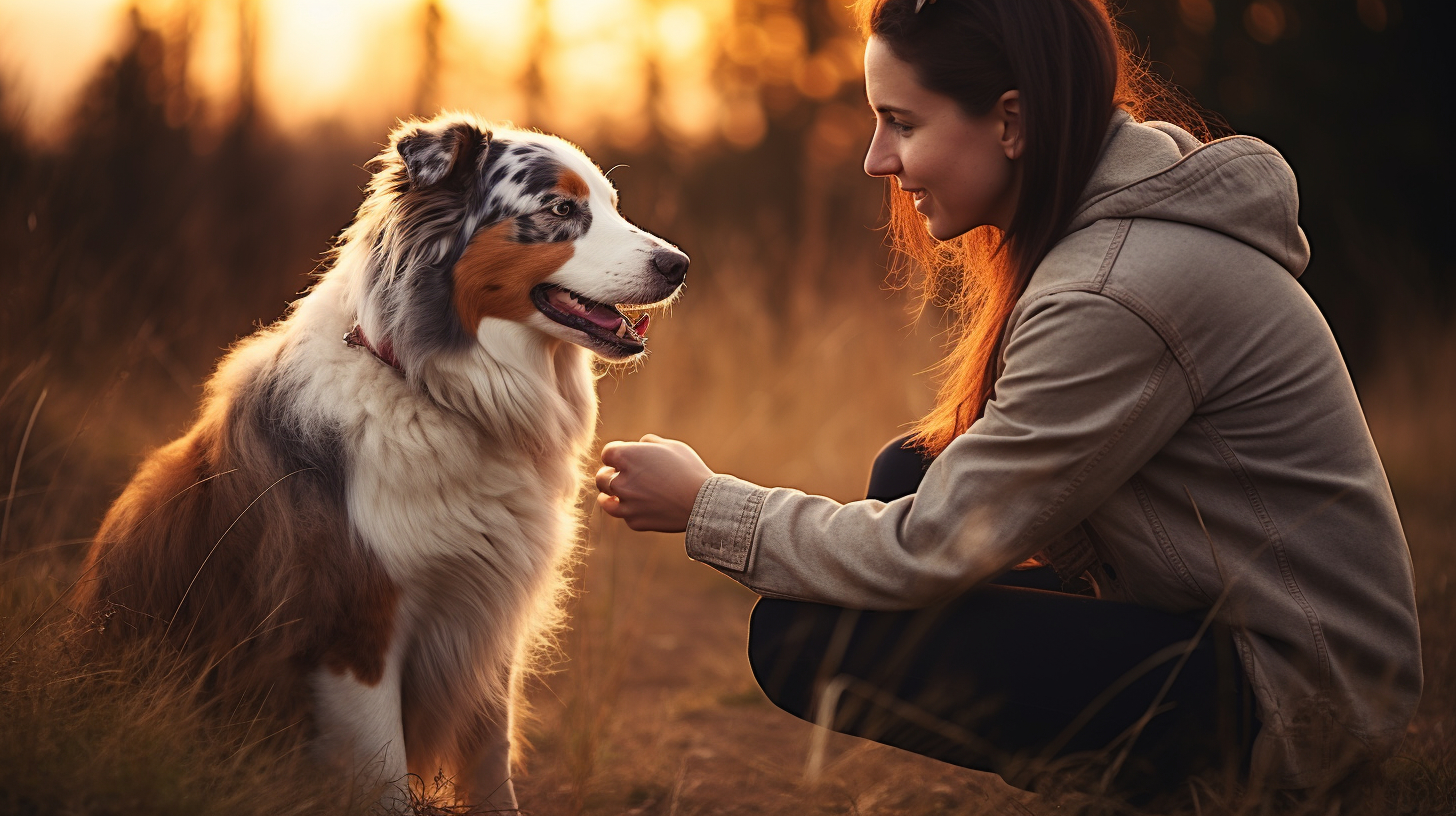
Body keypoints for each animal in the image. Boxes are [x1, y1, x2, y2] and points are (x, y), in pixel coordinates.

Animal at [76, 112, 690, 810]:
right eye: (562, 209)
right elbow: (387, 775)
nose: (679, 265)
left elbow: (492, 761)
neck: (438, 390)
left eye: (612, 204)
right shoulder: (353, 632)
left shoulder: (486, 614)